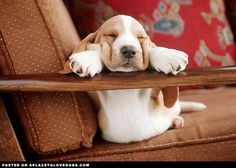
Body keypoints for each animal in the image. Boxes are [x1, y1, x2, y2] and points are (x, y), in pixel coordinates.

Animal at [60, 14, 206, 143]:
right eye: (111, 35)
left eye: (140, 37)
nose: (129, 50)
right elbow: (98, 51)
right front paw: (87, 58)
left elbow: (150, 50)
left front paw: (168, 55)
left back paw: (176, 120)